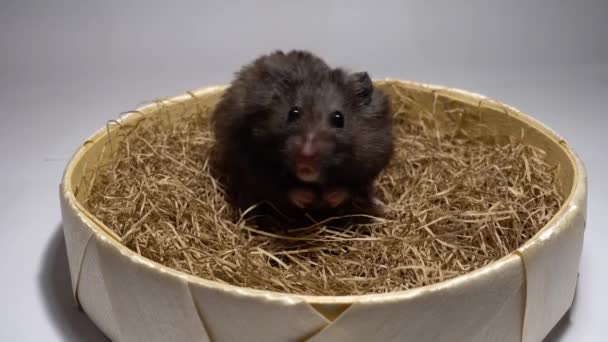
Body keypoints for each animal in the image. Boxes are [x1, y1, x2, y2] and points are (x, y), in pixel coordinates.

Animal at [211, 49, 394, 228]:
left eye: (339, 118)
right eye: (293, 112)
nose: (305, 158)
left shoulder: (371, 161)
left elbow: (351, 188)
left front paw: (331, 196)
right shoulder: (250, 160)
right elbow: (277, 187)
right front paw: (307, 197)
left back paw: (381, 208)